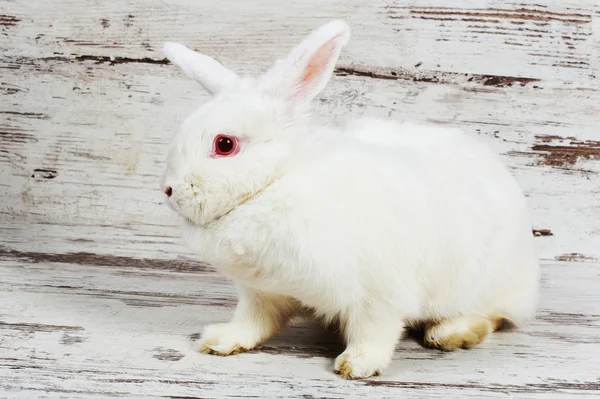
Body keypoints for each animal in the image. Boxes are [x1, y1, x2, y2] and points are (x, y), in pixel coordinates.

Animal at [159, 19, 540, 382]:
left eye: (225, 144)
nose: (168, 190)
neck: (276, 180)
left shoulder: (379, 294)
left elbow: (374, 331)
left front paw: (357, 365)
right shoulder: (260, 292)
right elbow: (252, 321)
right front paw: (220, 341)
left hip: (484, 284)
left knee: (493, 315)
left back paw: (450, 333)